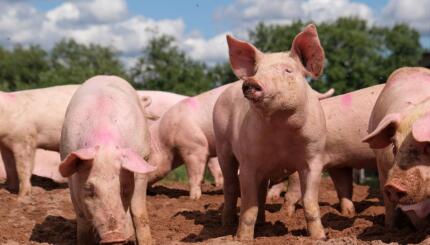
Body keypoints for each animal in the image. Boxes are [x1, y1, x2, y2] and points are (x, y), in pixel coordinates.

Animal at [58, 75, 155, 244]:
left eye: (125, 188)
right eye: (89, 189)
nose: (113, 237)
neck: (105, 141)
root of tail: (106, 75)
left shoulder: (142, 159)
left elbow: (138, 211)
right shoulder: (70, 170)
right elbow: (82, 219)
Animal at [212, 24, 330, 239]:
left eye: (288, 70)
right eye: (257, 70)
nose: (251, 81)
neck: (281, 129)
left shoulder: (314, 158)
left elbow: (309, 203)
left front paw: (320, 238)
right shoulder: (248, 162)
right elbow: (248, 207)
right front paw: (242, 239)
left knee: (260, 192)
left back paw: (262, 224)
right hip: (222, 145)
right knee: (230, 186)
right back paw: (226, 226)